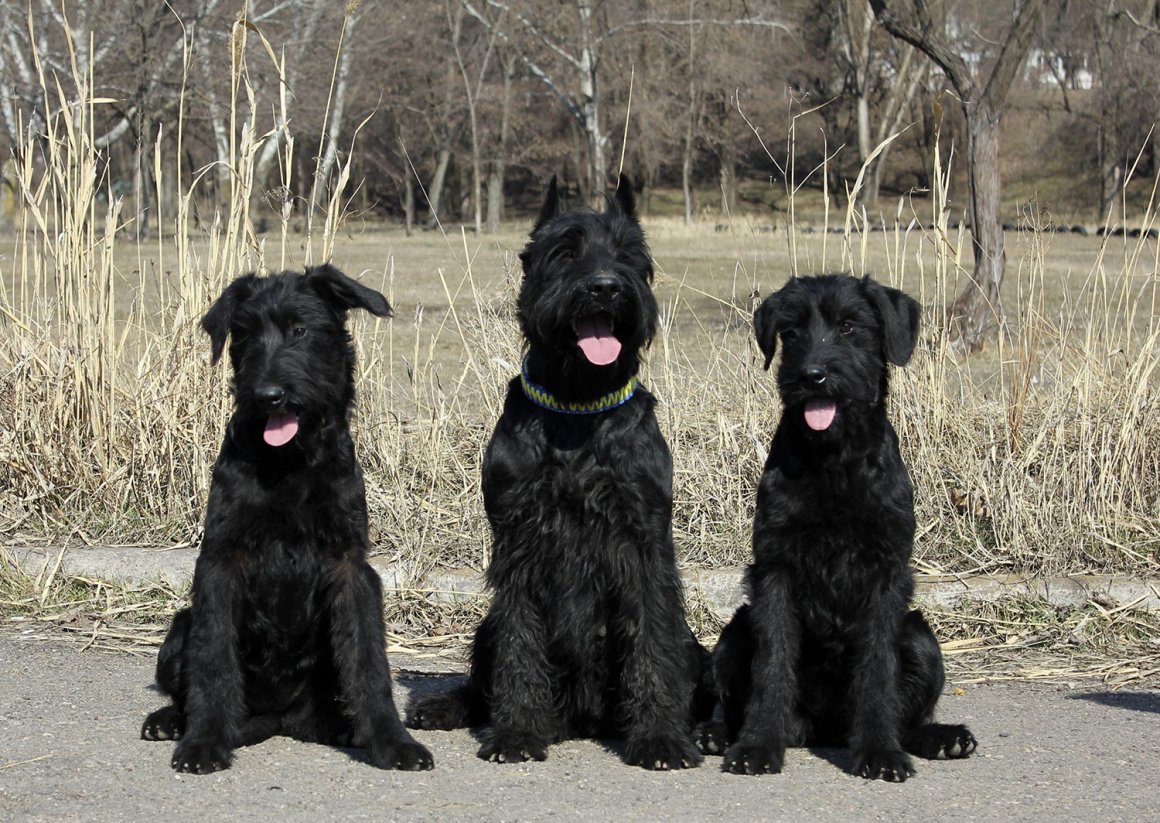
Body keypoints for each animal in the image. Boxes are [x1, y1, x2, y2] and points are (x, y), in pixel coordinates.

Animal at [142, 266, 433, 775]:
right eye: (245, 334)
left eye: (300, 330)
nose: (268, 395)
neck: (289, 463)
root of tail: (281, 717)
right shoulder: (220, 562)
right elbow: (214, 660)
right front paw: (204, 741)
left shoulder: (350, 568)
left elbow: (369, 664)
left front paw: (392, 741)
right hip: (180, 626)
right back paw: (169, 720)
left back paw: (341, 724)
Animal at [408, 176, 714, 766]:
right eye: (565, 252)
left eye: (629, 254)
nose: (605, 287)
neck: (578, 406)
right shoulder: (520, 540)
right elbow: (520, 642)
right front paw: (518, 731)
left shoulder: (644, 540)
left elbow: (652, 642)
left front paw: (661, 737)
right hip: (486, 628)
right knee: (482, 673)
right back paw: (444, 706)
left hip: (688, 641)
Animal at [705, 272, 979, 780]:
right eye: (791, 332)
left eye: (850, 327)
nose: (812, 375)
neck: (833, 460)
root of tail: (823, 729)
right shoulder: (775, 571)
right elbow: (773, 664)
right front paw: (758, 745)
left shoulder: (885, 575)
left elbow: (877, 671)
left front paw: (879, 751)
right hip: (734, 633)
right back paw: (715, 733)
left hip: (920, 638)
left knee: (909, 712)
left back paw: (939, 737)